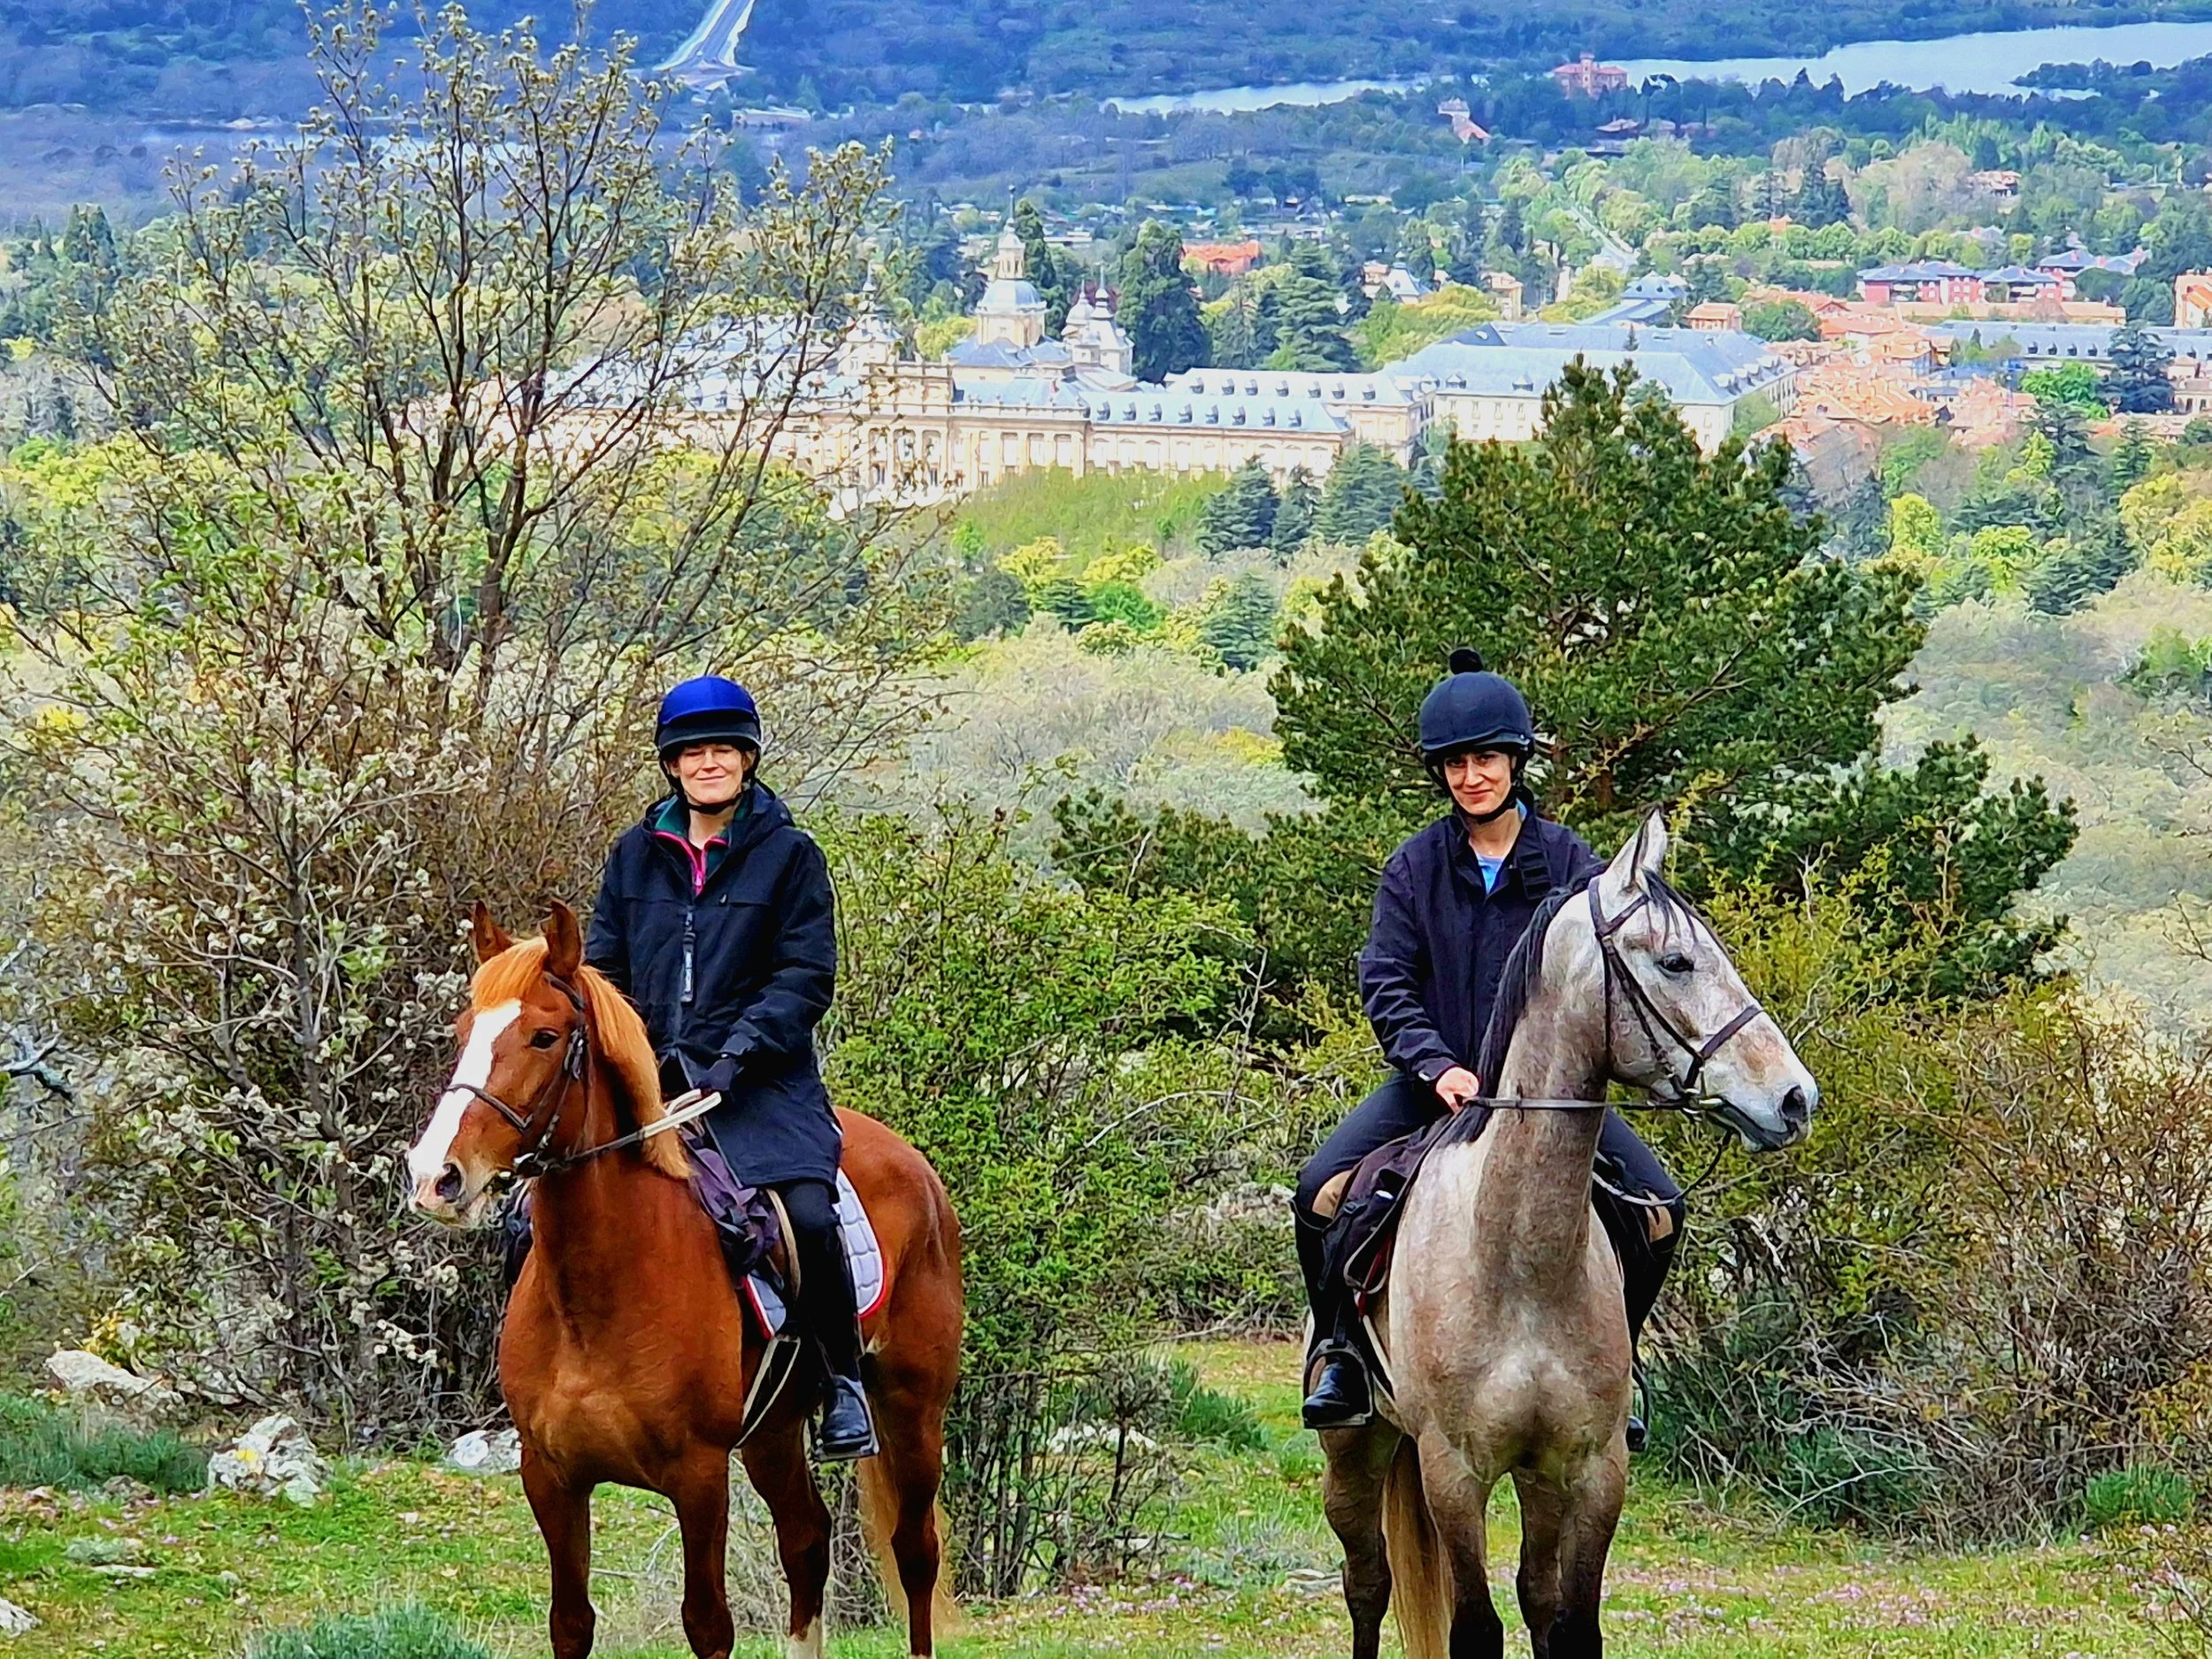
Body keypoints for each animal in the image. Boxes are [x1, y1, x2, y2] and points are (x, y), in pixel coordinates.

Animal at [403, 901, 964, 1659]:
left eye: (545, 1036)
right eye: (465, 1032)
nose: (435, 1176)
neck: (599, 1297)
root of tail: (915, 1166)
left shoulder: (699, 1479)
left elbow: (707, 1623)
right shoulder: (550, 1478)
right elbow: (570, 1623)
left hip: (912, 1406)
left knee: (914, 1551)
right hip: (773, 1432)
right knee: (807, 1540)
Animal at [1320, 812, 1816, 1659]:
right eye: (1677, 960)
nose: (1794, 1098)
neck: (1519, 1259)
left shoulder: (1590, 1469)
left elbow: (1569, 1621)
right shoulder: (1453, 1472)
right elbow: (1474, 1628)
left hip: (1532, 1478)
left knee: (1531, 1590)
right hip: (1355, 1451)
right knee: (1367, 1586)